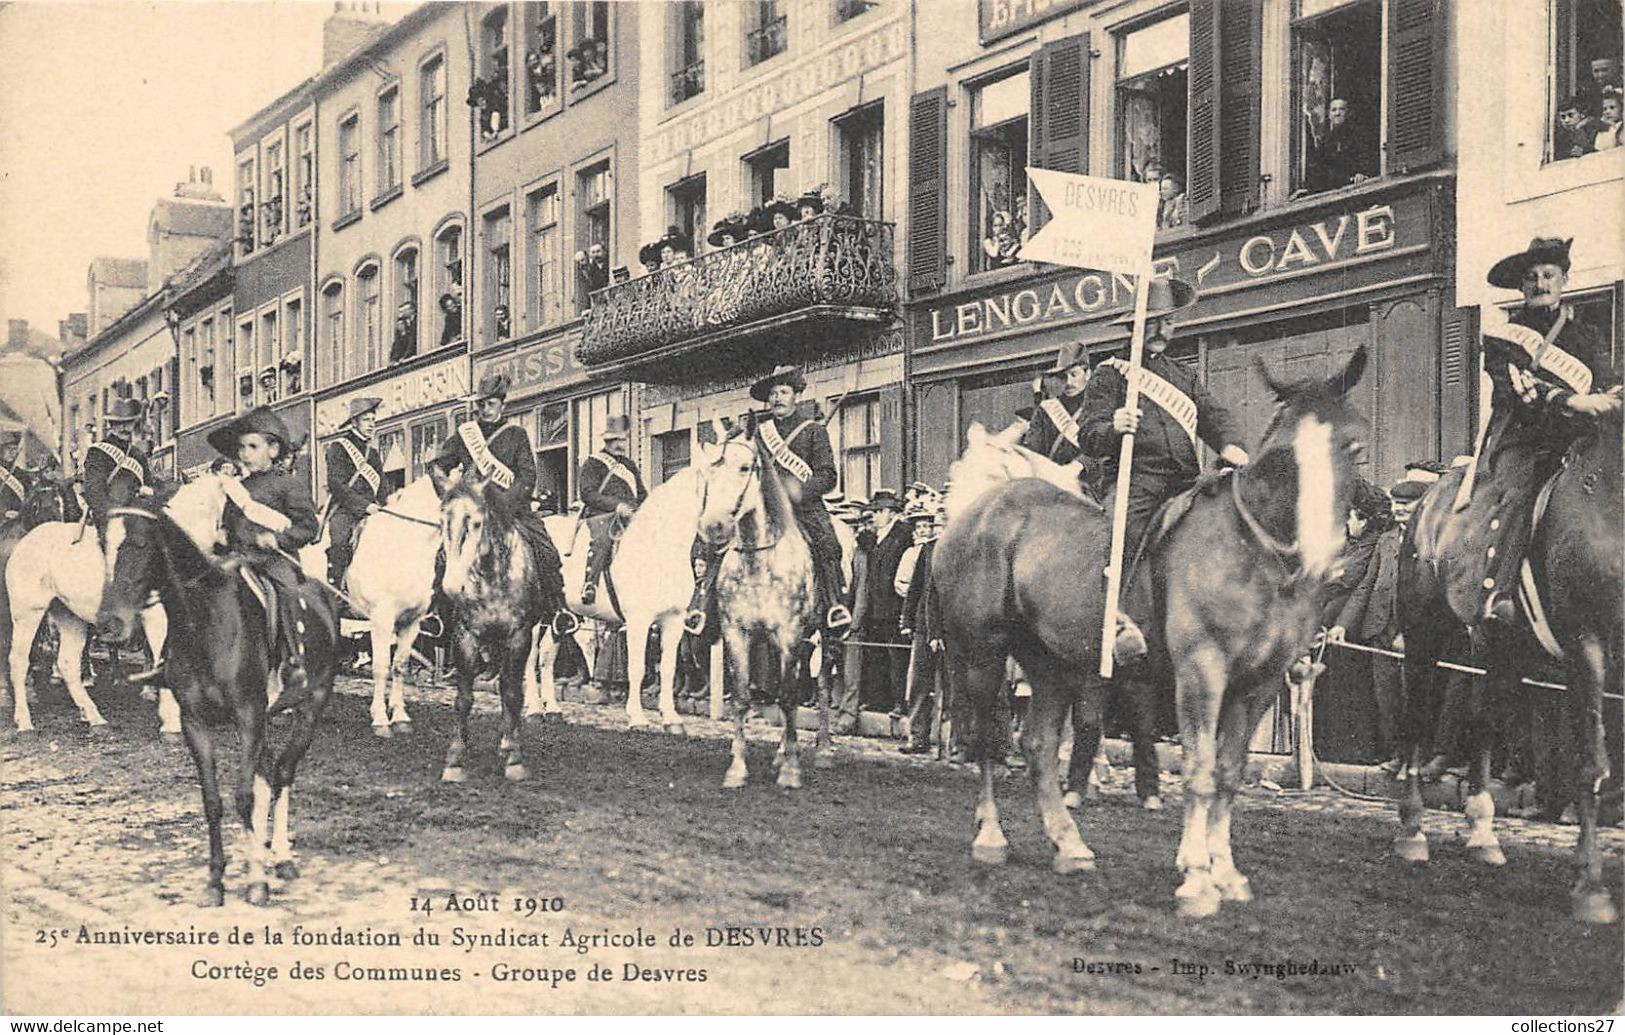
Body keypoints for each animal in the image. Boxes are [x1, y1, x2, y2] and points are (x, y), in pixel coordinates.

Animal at [97, 477, 339, 903]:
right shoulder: (196, 722)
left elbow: (244, 796)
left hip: (311, 707)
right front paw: (216, 879)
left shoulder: (248, 717)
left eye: (140, 544)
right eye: (102, 545)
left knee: (283, 773)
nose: (109, 624)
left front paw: (256, 882)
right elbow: (213, 801)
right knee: (268, 774)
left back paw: (281, 856)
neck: (206, 626)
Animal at [432, 464, 565, 779]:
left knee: (511, 684)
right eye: (443, 522)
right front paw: (455, 759)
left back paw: (507, 741)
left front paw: (514, 759)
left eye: (477, 523)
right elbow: (464, 698)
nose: (452, 586)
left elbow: (513, 693)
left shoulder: (519, 636)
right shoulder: (464, 636)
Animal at [692, 422, 832, 786]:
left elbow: (789, 696)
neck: (758, 559)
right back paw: (782, 750)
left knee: (822, 683)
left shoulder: (789, 632)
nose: (713, 526)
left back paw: (823, 749)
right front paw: (738, 768)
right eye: (709, 472)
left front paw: (791, 771)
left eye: (745, 467)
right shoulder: (737, 633)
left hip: (827, 635)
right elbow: (743, 697)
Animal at [929, 347, 1371, 909]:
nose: (1321, 558)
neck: (1253, 553)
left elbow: (1228, 774)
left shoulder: (1260, 685)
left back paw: (1069, 844)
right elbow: (1199, 771)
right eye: (1283, 456)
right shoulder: (1201, 673)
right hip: (984, 654)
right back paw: (991, 838)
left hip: (1050, 663)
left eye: (1353, 445)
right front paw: (1198, 878)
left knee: (1039, 746)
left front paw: (1225, 872)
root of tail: (982, 510)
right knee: (989, 740)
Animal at [1391, 402, 1618, 922]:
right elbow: (1591, 763)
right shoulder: (1588, 646)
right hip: (1423, 630)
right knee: (1417, 718)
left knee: (1482, 721)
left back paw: (1481, 832)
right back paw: (1412, 832)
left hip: (1495, 647)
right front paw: (1590, 887)